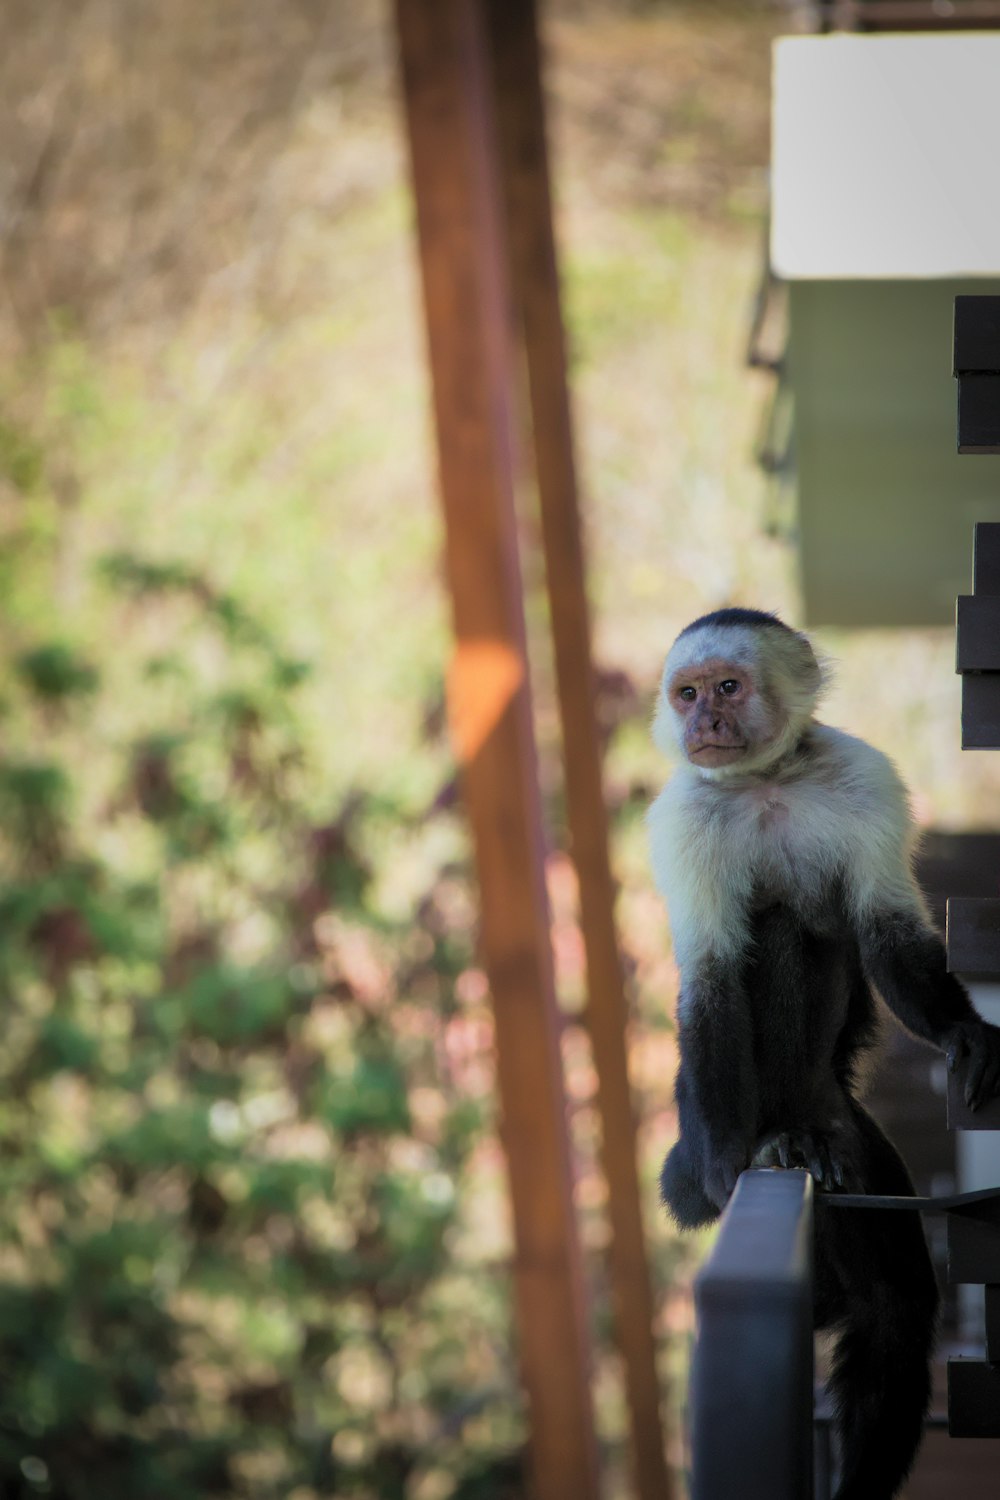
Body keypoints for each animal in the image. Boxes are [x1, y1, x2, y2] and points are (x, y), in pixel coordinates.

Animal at [650, 603, 1000, 1500]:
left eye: (727, 687)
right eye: (687, 693)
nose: (702, 724)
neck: (767, 780)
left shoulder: (862, 777)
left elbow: (886, 929)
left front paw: (963, 1031)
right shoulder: (682, 816)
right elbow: (712, 981)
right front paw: (729, 1167)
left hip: (851, 1133)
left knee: (892, 1311)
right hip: (714, 1106)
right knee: (772, 930)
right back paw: (774, 1142)